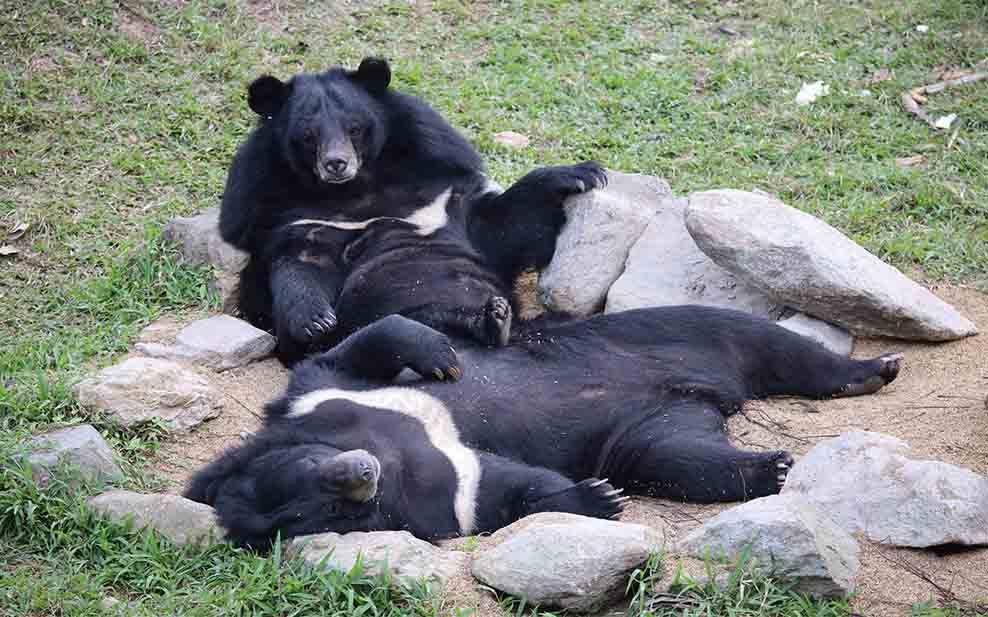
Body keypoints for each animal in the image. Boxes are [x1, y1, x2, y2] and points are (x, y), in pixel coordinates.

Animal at [185, 306, 904, 548]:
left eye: (313, 468)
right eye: (325, 509)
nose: (364, 472)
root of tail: (707, 395)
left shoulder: (322, 394)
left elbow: (362, 345)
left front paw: (444, 357)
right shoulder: (439, 492)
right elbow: (491, 486)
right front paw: (599, 498)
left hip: (658, 330)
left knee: (770, 343)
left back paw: (873, 368)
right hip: (648, 430)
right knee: (683, 459)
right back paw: (770, 465)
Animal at [222, 57, 608, 360]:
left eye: (354, 128)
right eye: (308, 135)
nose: (336, 164)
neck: (355, 189)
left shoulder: (444, 185)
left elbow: (505, 226)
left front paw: (584, 174)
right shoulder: (280, 214)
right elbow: (299, 267)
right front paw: (315, 320)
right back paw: (486, 323)